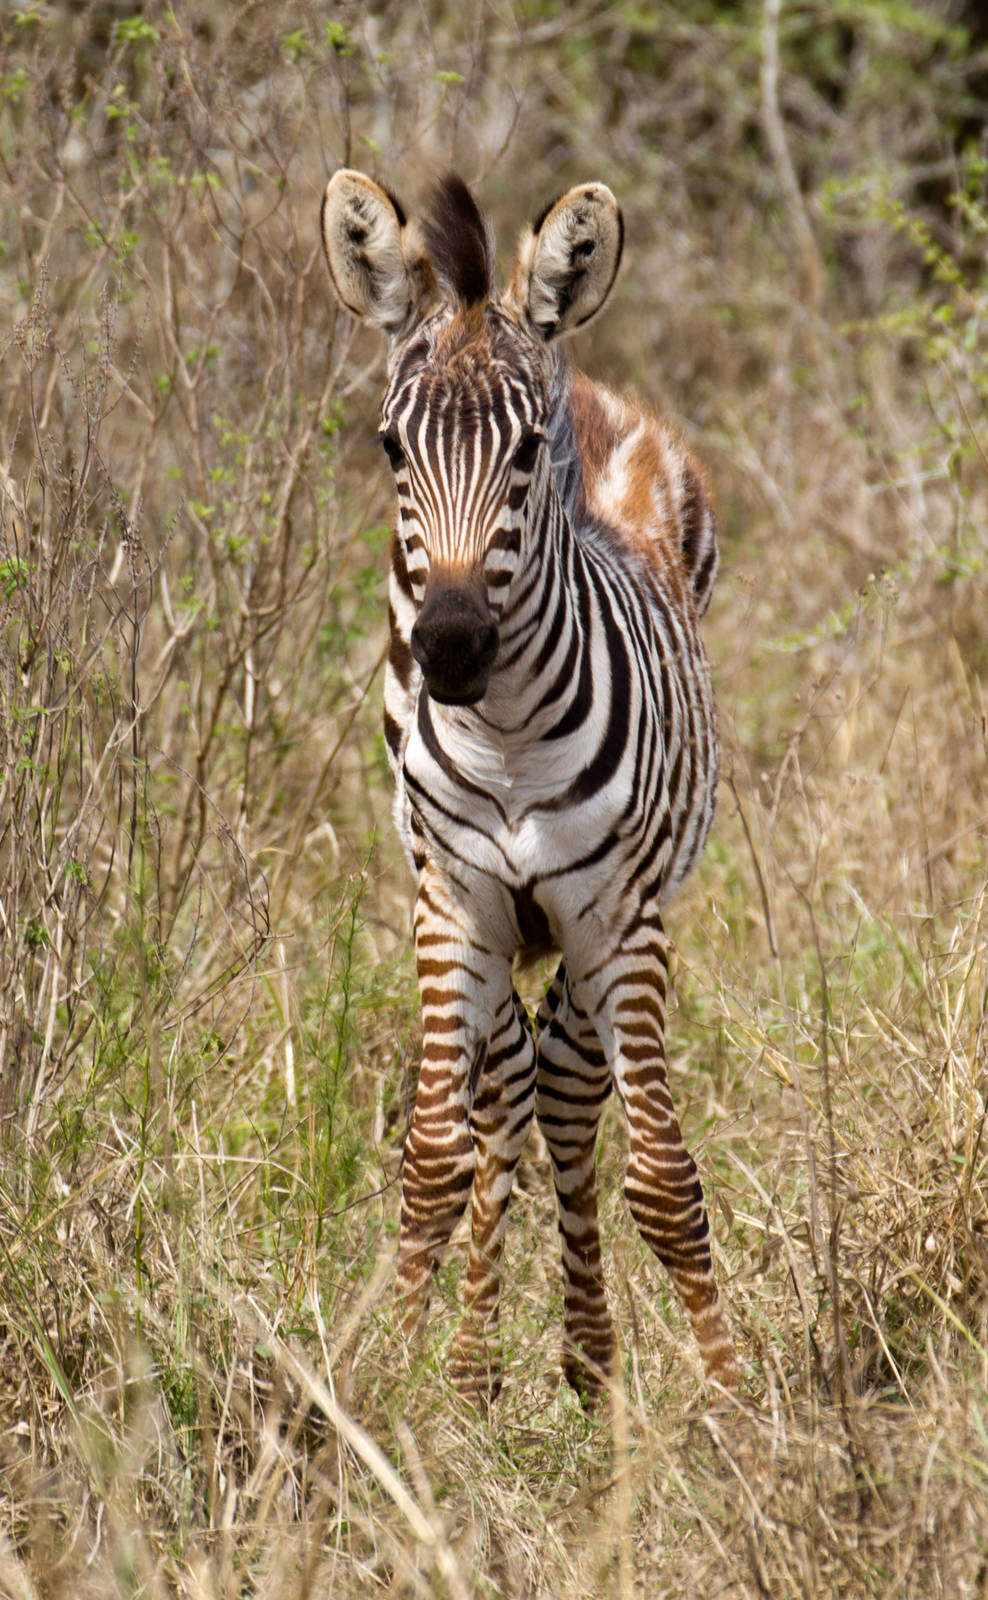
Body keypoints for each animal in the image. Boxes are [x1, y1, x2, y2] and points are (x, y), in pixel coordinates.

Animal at [320, 169, 738, 1405]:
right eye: (388, 449)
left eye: (527, 451)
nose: (453, 648)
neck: (505, 742)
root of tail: (581, 368)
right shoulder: (451, 902)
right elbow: (431, 1156)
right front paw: (399, 1384)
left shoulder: (619, 918)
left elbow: (661, 1178)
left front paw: (740, 1404)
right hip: (495, 923)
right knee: (508, 1088)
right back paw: (474, 1365)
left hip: (603, 922)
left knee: (561, 1088)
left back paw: (588, 1363)